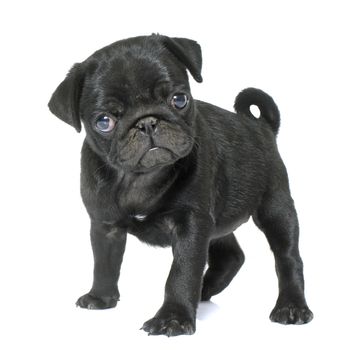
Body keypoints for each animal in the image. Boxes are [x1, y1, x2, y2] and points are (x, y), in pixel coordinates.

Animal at [47, 34, 314, 336]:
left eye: (179, 99)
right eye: (104, 121)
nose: (147, 122)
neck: (140, 177)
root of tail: (262, 126)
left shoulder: (191, 223)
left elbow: (182, 272)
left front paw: (172, 318)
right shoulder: (105, 225)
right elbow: (104, 263)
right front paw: (101, 297)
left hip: (275, 207)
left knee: (287, 257)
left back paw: (291, 307)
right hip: (218, 218)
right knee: (231, 254)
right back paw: (204, 291)